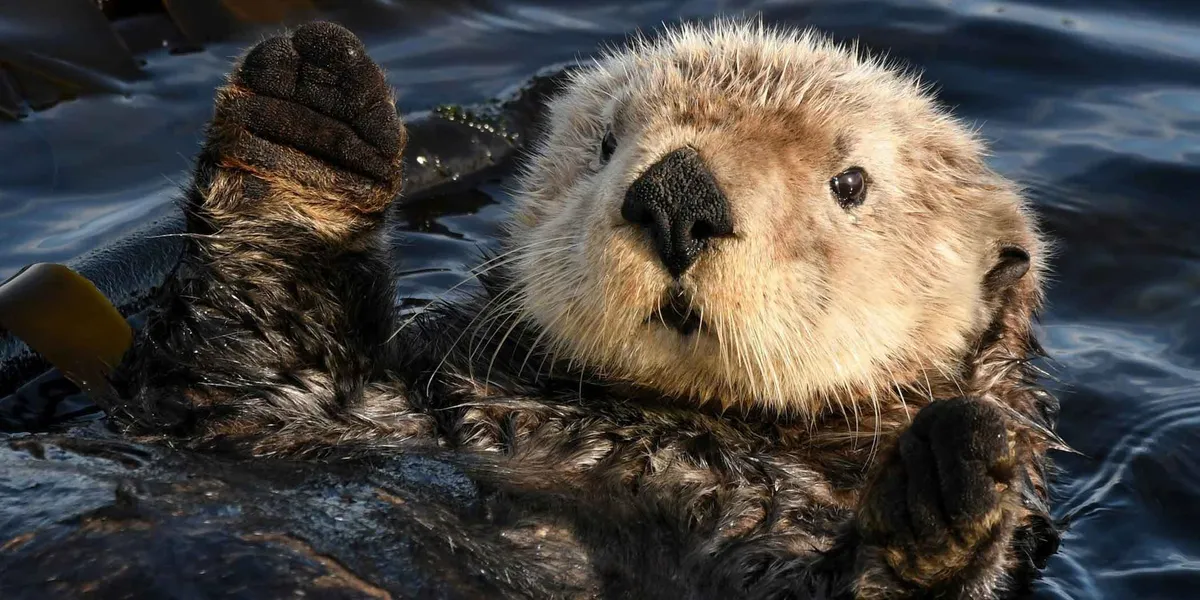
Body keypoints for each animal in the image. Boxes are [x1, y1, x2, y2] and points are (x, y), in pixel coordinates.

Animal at [107, 20, 1061, 599]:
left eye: (851, 184)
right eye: (604, 145)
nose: (677, 196)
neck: (649, 428)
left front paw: (949, 472)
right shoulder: (328, 417)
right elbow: (241, 377)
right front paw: (309, 117)